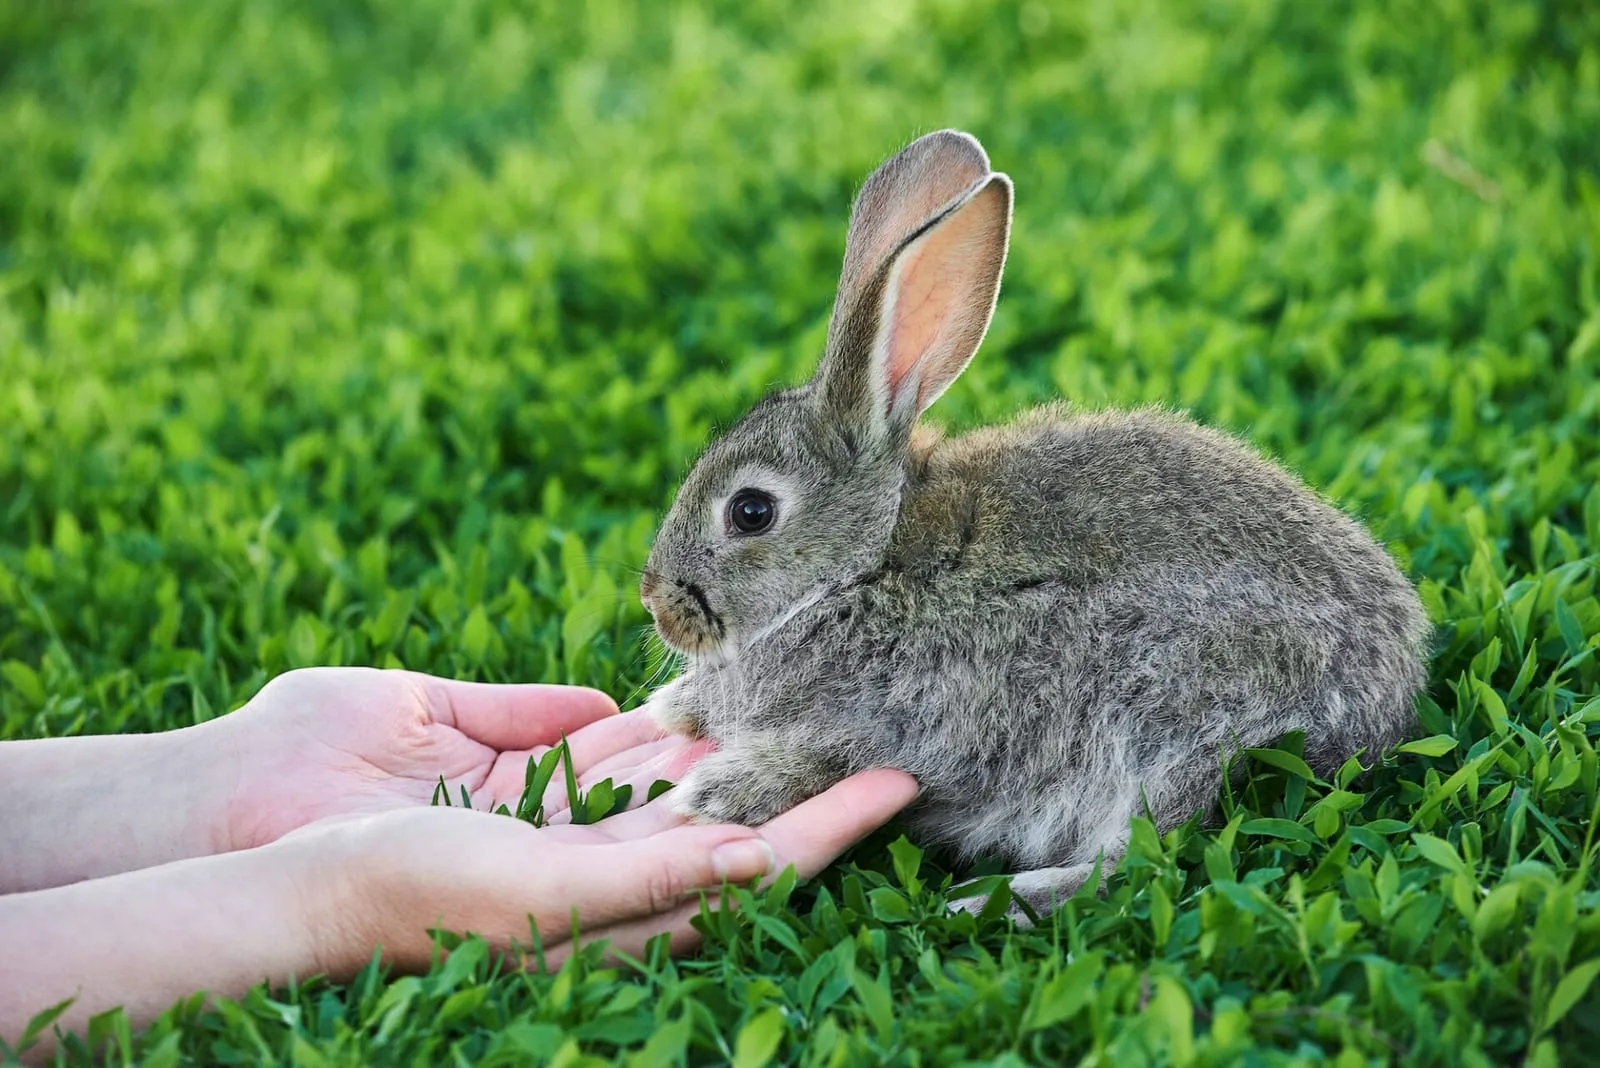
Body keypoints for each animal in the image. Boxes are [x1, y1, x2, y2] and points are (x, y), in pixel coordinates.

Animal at [635, 129, 1431, 919]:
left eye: (751, 511)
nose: (658, 604)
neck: (865, 562)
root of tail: (1384, 709)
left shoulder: (911, 717)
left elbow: (834, 756)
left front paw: (717, 791)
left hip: (1170, 716)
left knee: (1142, 860)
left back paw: (992, 902)